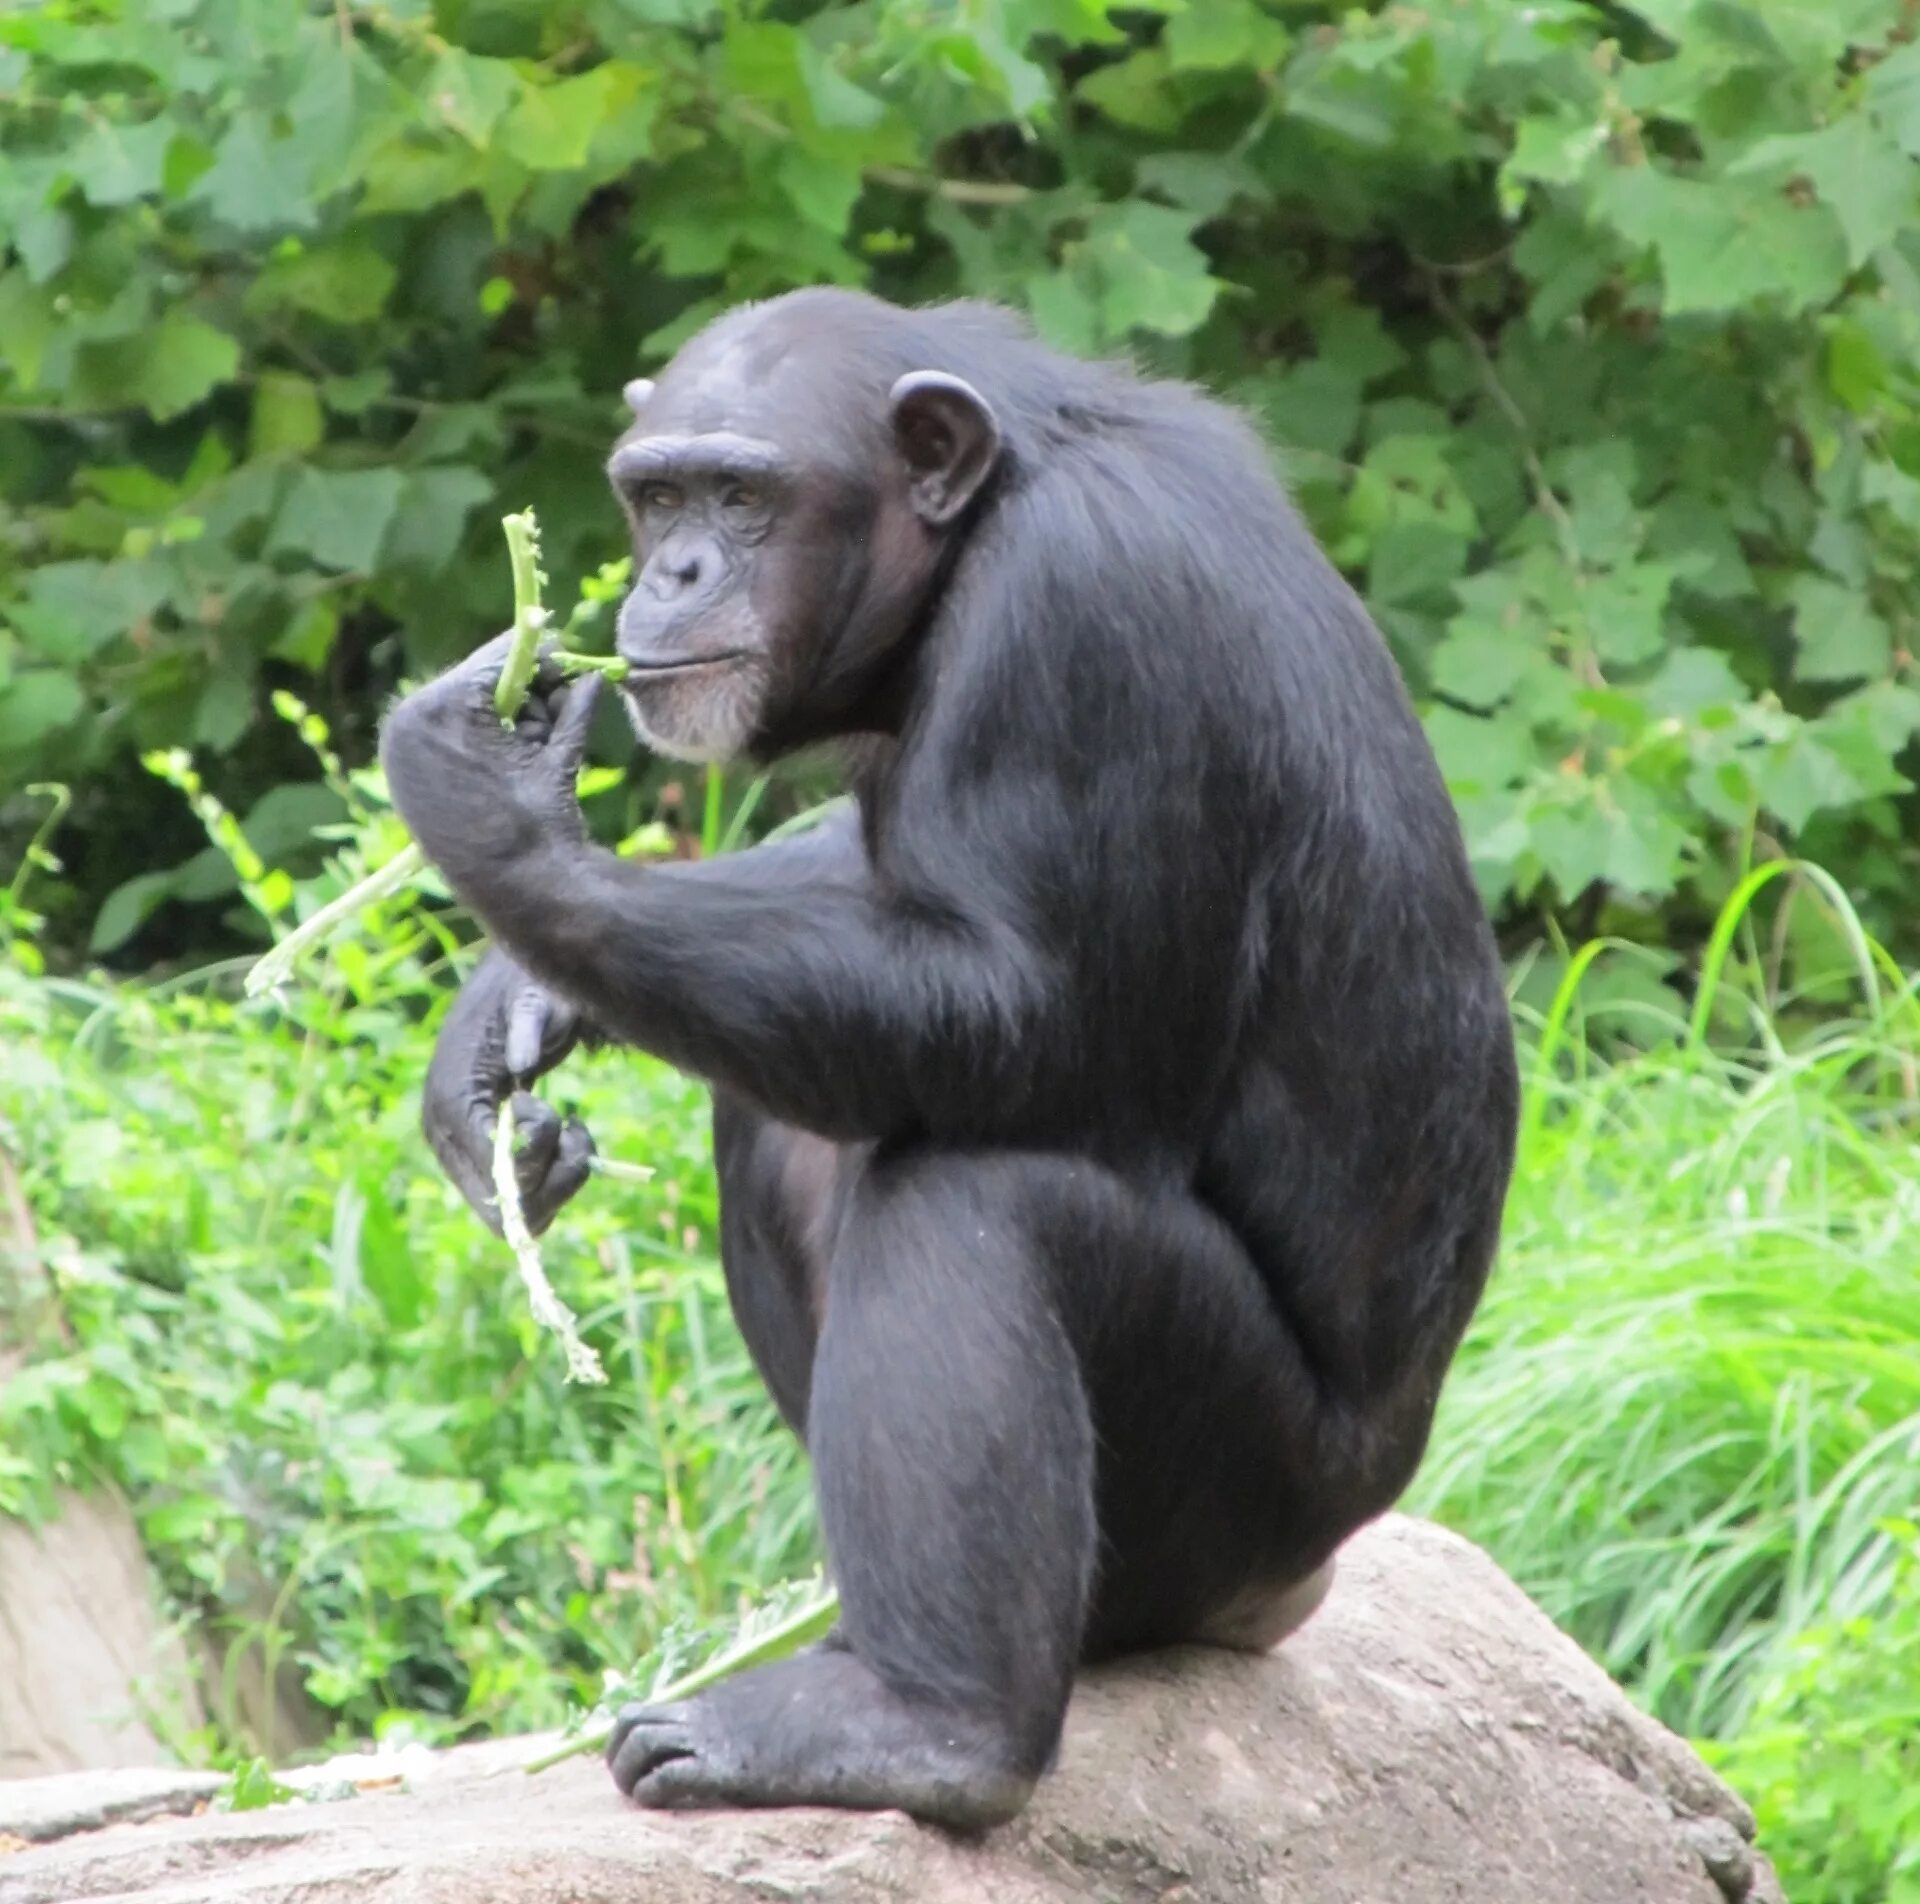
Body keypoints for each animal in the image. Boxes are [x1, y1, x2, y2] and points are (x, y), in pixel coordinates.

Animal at [374, 285, 1512, 1827]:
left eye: (742, 497)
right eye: (656, 494)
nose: (671, 569)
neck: (981, 528)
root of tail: (1298, 1593)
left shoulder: (1082, 613)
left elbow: (1018, 1003)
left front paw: (497, 816)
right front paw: (509, 1017)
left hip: (1247, 1499)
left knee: (973, 1194)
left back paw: (922, 1723)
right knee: (785, 1116)